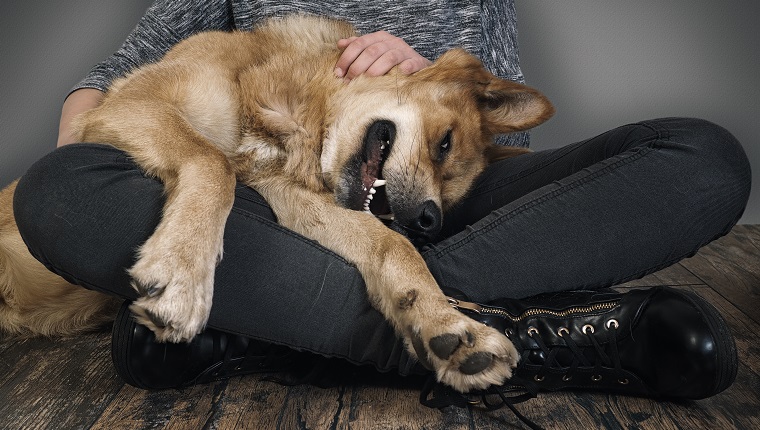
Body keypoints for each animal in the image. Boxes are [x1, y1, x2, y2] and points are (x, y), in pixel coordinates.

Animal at [2, 15, 556, 394]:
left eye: (449, 201)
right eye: (443, 143)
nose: (428, 221)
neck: (293, 103)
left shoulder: (291, 196)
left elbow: (388, 246)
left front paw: (444, 323)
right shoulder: (128, 107)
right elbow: (213, 162)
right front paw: (183, 272)